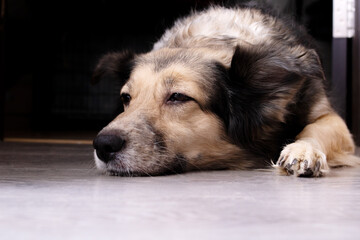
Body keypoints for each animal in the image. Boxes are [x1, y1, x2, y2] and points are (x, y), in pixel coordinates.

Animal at [91, 3, 358, 176]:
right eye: (126, 98)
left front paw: (304, 150)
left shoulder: (330, 118)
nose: (103, 144)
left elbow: (317, 128)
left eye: (178, 96)